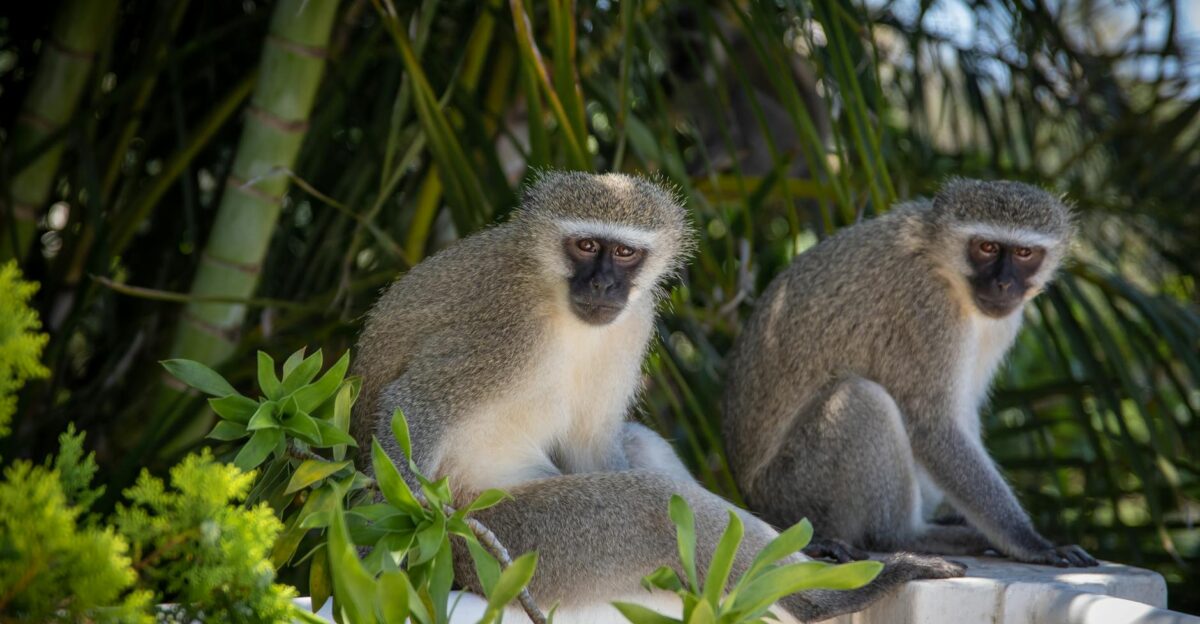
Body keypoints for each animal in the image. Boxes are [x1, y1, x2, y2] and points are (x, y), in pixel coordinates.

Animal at [351, 171, 964, 622]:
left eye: (625, 255)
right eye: (586, 246)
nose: (602, 285)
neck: (554, 298)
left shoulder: (632, 321)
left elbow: (594, 444)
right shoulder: (505, 329)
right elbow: (414, 403)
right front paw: (390, 544)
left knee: (642, 452)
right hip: (507, 545)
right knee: (649, 504)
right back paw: (831, 598)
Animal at [723, 178, 1099, 568]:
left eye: (1025, 253)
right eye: (987, 247)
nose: (1003, 285)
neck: (941, 262)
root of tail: (757, 503)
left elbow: (961, 415)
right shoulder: (928, 309)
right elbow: (933, 426)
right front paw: (1030, 541)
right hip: (796, 492)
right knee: (862, 400)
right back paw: (906, 537)